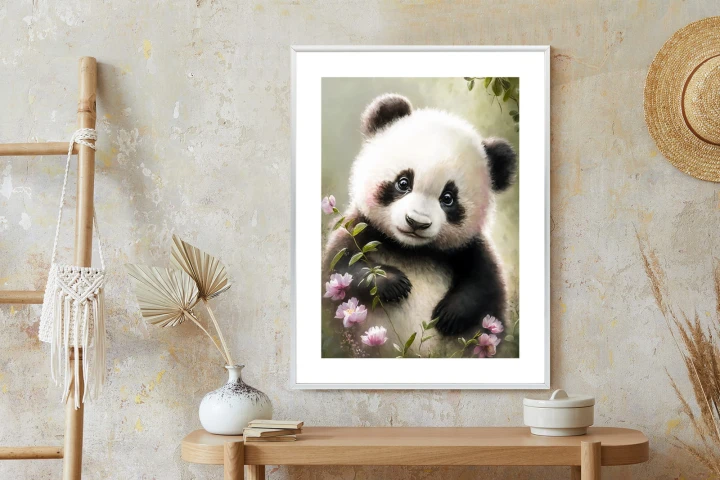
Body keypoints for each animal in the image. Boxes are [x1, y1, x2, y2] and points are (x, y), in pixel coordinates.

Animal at [323, 93, 517, 357]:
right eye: (403, 182)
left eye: (448, 198)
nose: (416, 222)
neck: (411, 250)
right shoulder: (360, 228)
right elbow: (340, 269)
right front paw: (394, 283)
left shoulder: (468, 248)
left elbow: (485, 286)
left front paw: (450, 314)